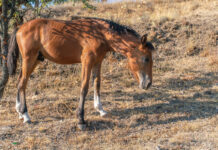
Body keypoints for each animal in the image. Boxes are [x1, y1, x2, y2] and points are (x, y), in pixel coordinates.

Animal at [7, 17, 155, 129]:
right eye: (146, 58)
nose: (148, 84)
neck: (100, 34)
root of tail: (20, 27)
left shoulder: (97, 62)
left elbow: (97, 84)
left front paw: (100, 110)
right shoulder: (87, 61)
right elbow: (84, 87)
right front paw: (81, 119)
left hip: (35, 60)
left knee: (20, 82)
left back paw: (20, 112)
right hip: (29, 59)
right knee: (22, 83)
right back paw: (26, 115)